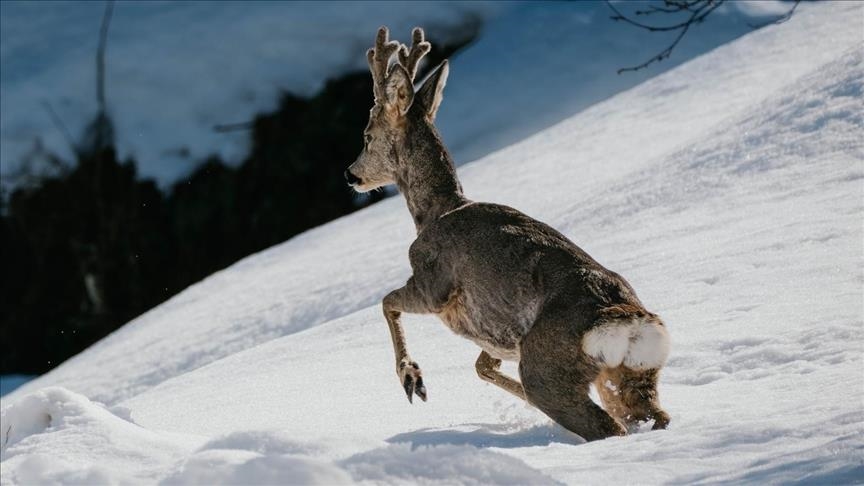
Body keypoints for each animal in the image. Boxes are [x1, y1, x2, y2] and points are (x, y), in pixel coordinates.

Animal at [348, 27, 672, 444]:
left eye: (368, 135)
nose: (351, 174)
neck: (437, 210)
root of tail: (628, 322)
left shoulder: (433, 282)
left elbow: (387, 302)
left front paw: (412, 378)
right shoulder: (494, 337)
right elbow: (482, 366)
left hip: (547, 368)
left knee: (606, 425)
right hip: (632, 374)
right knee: (652, 415)